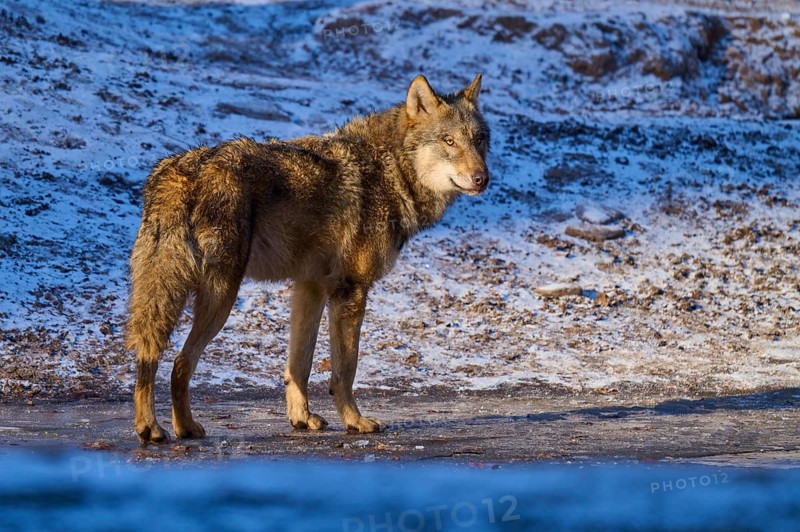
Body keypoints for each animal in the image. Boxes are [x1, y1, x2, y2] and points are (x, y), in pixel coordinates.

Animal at [126, 74, 490, 443]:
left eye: (479, 140)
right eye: (449, 141)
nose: (482, 178)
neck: (389, 170)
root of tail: (180, 173)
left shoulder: (309, 287)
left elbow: (298, 365)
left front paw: (301, 418)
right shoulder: (350, 290)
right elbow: (345, 371)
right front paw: (355, 422)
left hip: (170, 294)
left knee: (151, 355)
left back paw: (159, 426)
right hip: (220, 296)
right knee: (180, 361)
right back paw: (171, 428)